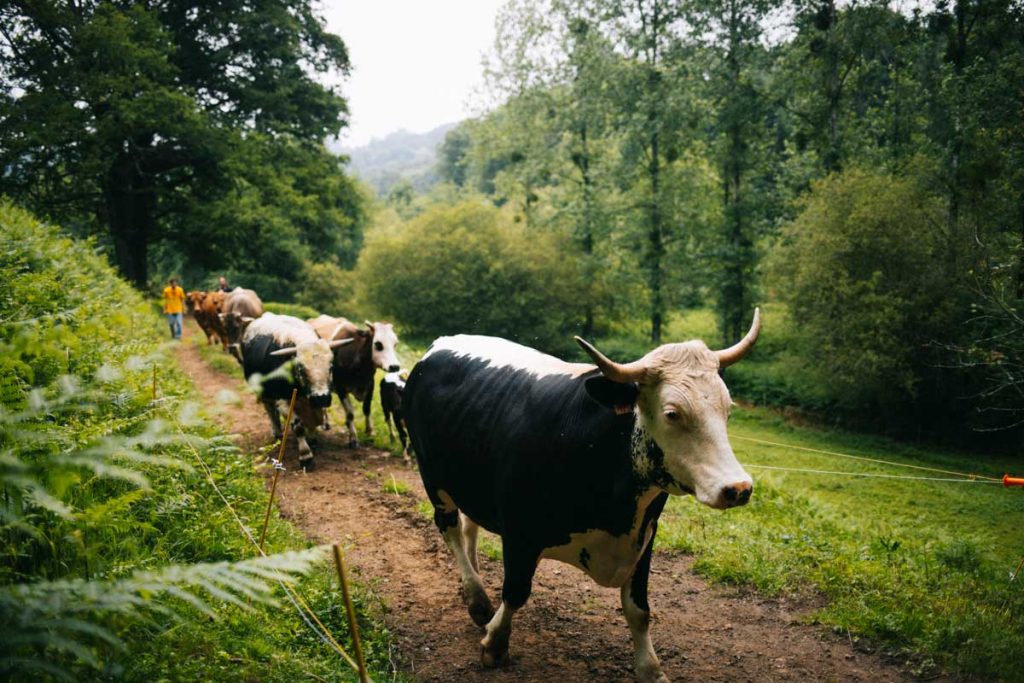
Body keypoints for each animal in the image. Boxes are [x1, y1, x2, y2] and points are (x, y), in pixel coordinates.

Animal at [240, 313, 351, 470]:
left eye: (330, 367)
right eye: (301, 369)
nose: (322, 398)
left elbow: (314, 421)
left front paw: (312, 440)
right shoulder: (283, 400)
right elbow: (298, 427)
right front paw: (306, 456)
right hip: (264, 393)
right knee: (270, 410)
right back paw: (278, 433)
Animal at [307, 315, 401, 448]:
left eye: (395, 344)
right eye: (378, 344)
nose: (395, 366)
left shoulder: (370, 385)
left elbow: (367, 409)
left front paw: (369, 432)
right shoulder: (340, 387)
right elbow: (350, 413)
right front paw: (353, 438)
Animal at [403, 309, 761, 682]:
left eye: (728, 408)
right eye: (672, 413)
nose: (738, 488)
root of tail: (439, 345)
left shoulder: (644, 535)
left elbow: (639, 609)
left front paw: (650, 667)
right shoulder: (520, 532)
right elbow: (516, 592)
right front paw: (496, 643)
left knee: (469, 526)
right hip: (432, 475)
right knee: (450, 529)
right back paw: (476, 598)